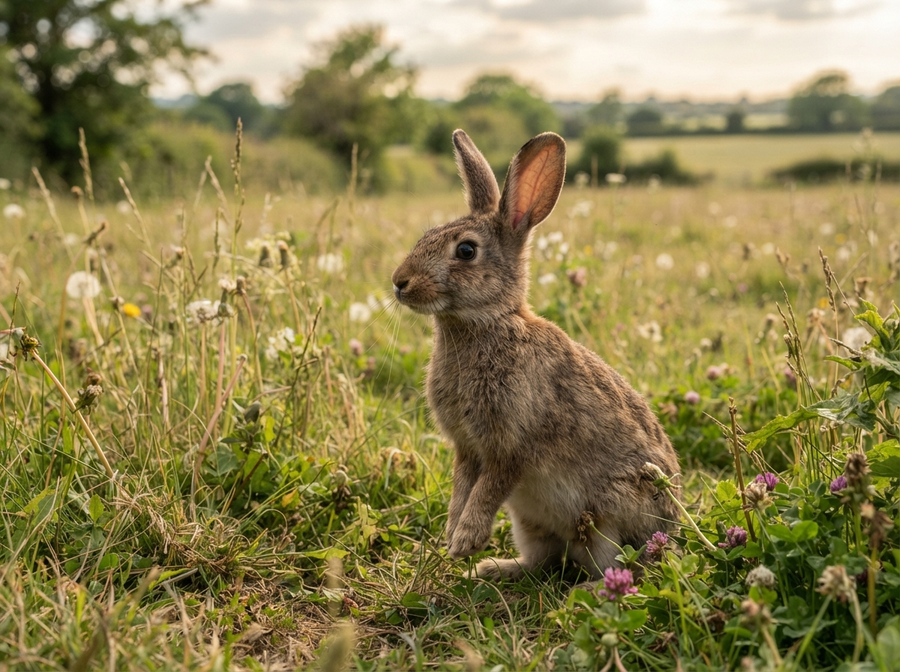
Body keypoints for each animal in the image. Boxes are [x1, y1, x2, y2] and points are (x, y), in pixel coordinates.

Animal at [391, 129, 681, 581]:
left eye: (466, 251)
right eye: (426, 236)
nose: (399, 282)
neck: (486, 325)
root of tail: (672, 530)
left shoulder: (514, 445)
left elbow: (488, 488)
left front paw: (464, 540)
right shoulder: (467, 448)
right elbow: (462, 487)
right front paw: (455, 536)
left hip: (608, 516)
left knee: (617, 566)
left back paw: (589, 589)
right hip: (528, 522)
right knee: (542, 560)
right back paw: (492, 569)